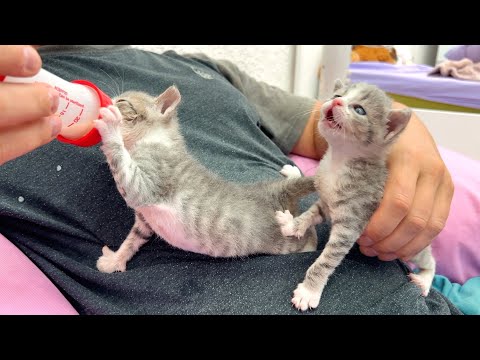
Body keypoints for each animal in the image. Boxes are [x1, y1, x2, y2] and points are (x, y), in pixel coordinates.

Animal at [94, 86, 318, 272]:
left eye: (122, 101)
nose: (107, 102)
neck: (156, 139)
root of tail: (277, 192)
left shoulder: (148, 183)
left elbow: (123, 166)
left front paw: (110, 127)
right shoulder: (145, 220)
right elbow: (133, 239)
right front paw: (115, 260)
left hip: (287, 241)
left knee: (311, 236)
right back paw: (293, 173)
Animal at [276, 80, 436, 310]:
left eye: (359, 110)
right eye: (337, 95)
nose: (335, 102)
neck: (338, 161)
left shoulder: (351, 224)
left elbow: (326, 260)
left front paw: (309, 290)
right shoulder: (325, 202)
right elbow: (310, 213)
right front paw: (294, 224)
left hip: (413, 247)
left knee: (430, 260)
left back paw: (425, 278)